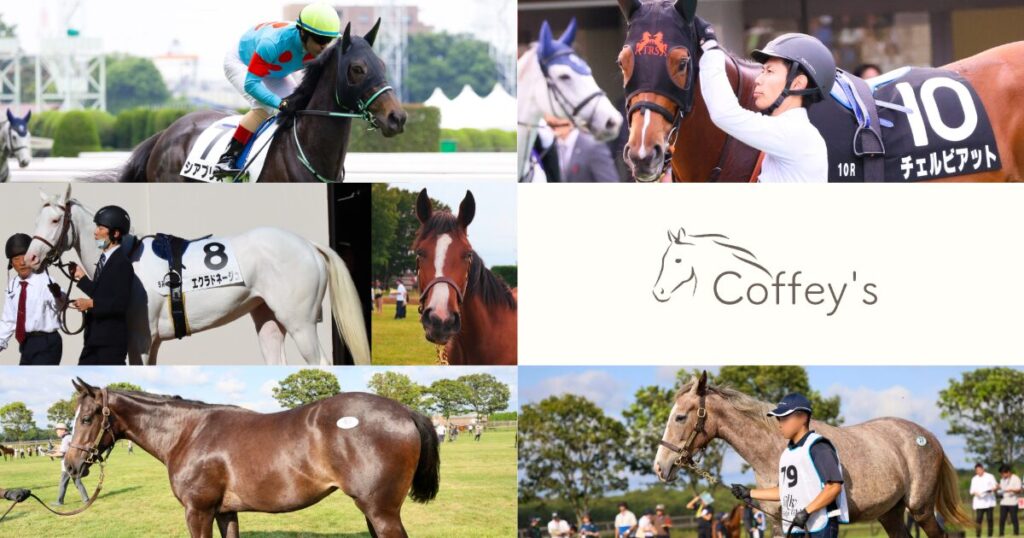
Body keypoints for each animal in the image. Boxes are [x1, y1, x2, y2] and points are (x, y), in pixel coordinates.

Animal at [23, 184, 370, 365]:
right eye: (37, 218)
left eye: (55, 220)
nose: (31, 258)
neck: (128, 258)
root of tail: (309, 245)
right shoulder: (152, 343)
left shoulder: (140, 340)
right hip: (269, 320)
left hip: (300, 323)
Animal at [64, 378, 439, 538]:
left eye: (86, 418)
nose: (70, 465)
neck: (190, 432)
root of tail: (404, 411)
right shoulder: (224, 512)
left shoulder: (198, 512)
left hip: (381, 512)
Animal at [654, 372, 974, 538]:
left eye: (680, 417)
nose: (660, 467)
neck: (776, 448)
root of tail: (927, 436)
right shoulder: (777, 522)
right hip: (890, 513)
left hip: (921, 509)